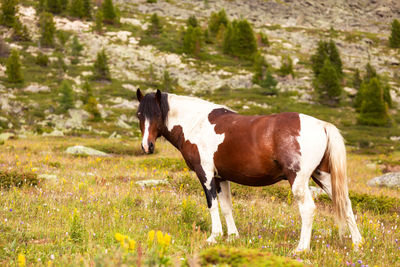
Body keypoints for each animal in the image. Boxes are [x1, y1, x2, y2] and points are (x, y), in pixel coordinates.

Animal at [135, 89, 362, 252]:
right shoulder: (221, 178)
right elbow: (227, 207)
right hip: (323, 177)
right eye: (139, 115)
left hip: (298, 181)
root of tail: (321, 125)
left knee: (308, 209)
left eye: (157, 114)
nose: (147, 146)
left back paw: (301, 249)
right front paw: (233, 236)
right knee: (346, 204)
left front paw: (214, 237)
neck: (195, 123)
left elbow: (212, 205)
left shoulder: (206, 174)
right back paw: (357, 244)